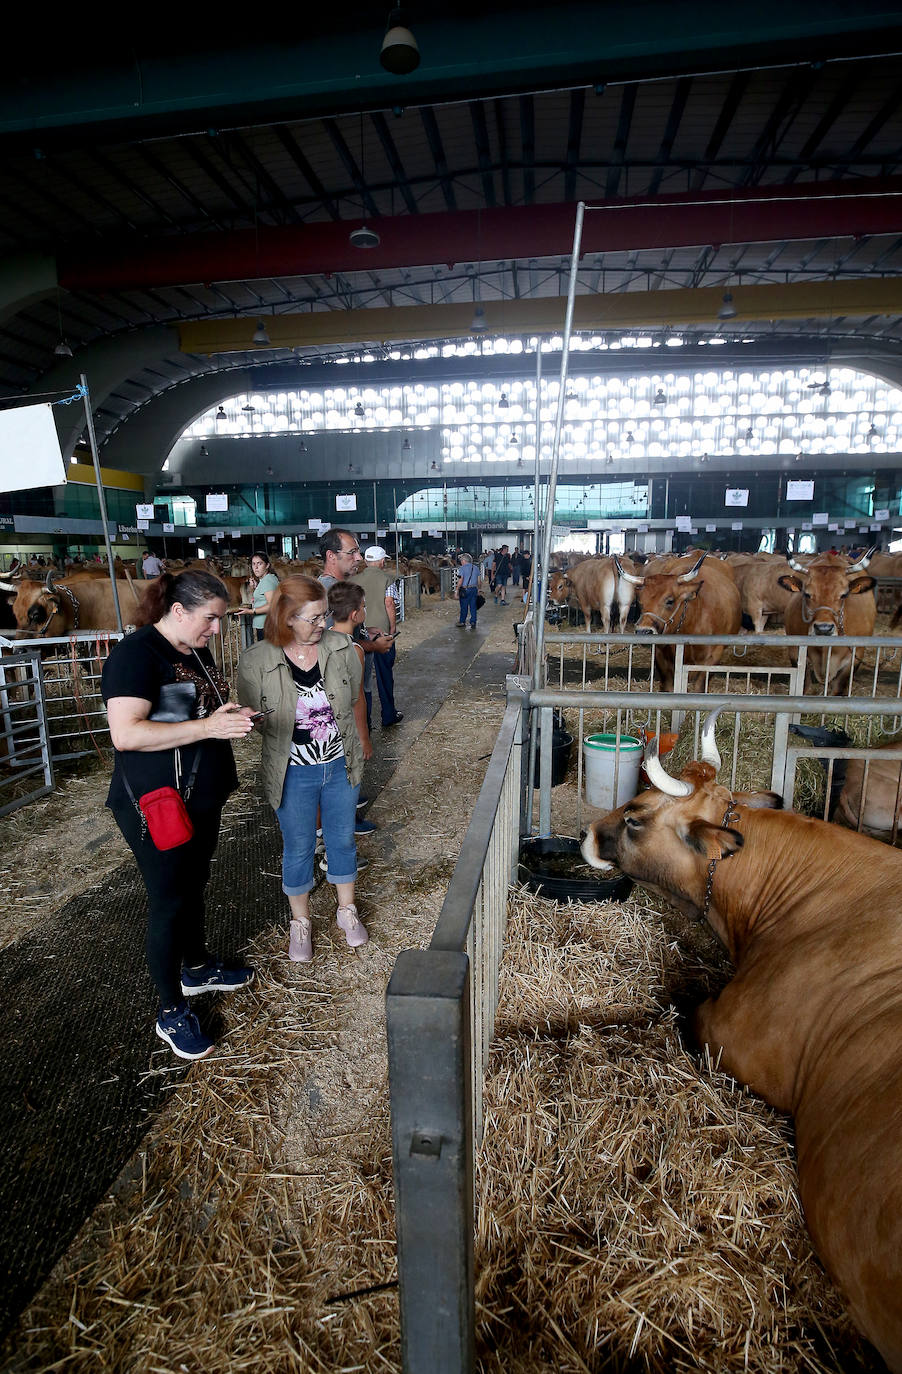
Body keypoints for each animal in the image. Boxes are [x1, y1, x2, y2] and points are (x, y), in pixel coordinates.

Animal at [781, 549, 880, 697]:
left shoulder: (855, 657)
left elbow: (839, 688)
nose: (823, 628)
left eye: (844, 595)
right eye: (807, 594)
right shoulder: (794, 652)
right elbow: (803, 685)